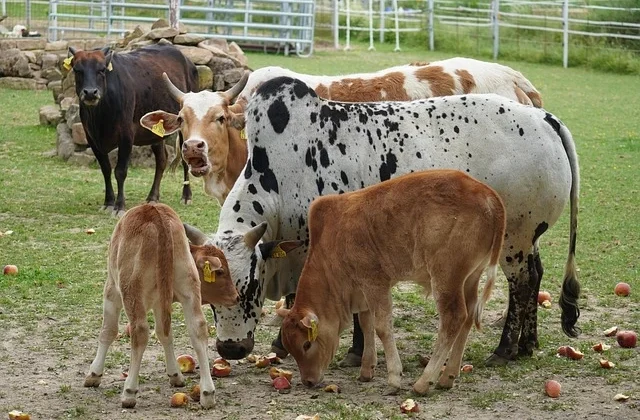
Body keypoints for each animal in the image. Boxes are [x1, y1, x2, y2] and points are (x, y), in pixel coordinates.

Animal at [67, 44, 198, 217]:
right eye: (77, 70)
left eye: (101, 69)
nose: (90, 92)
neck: (101, 117)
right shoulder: (92, 139)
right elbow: (106, 169)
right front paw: (108, 202)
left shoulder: (126, 136)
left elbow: (120, 171)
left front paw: (119, 206)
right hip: (155, 133)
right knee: (161, 160)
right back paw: (152, 197)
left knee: (184, 159)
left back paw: (186, 196)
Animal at [83, 202, 239, 409]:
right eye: (221, 271)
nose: (237, 296)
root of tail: (157, 213)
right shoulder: (161, 303)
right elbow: (165, 334)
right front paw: (175, 374)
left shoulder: (111, 290)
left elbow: (108, 331)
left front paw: (94, 374)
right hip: (189, 287)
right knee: (198, 329)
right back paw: (207, 393)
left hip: (131, 290)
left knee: (140, 332)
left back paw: (129, 391)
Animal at [182, 76, 580, 367]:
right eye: (208, 295)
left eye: (249, 286)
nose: (231, 349)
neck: (278, 177)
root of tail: (545, 119)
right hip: (527, 238)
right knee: (535, 274)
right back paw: (528, 343)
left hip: (514, 236)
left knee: (523, 283)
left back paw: (506, 349)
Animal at [278, 169, 506, 393]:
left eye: (306, 344)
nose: (308, 381)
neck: (331, 241)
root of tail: (487, 194)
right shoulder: (363, 291)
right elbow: (366, 323)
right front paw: (366, 370)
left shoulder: (375, 282)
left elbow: (381, 327)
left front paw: (394, 378)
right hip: (470, 277)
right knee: (469, 316)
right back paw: (447, 376)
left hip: (446, 277)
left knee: (454, 318)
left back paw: (424, 382)